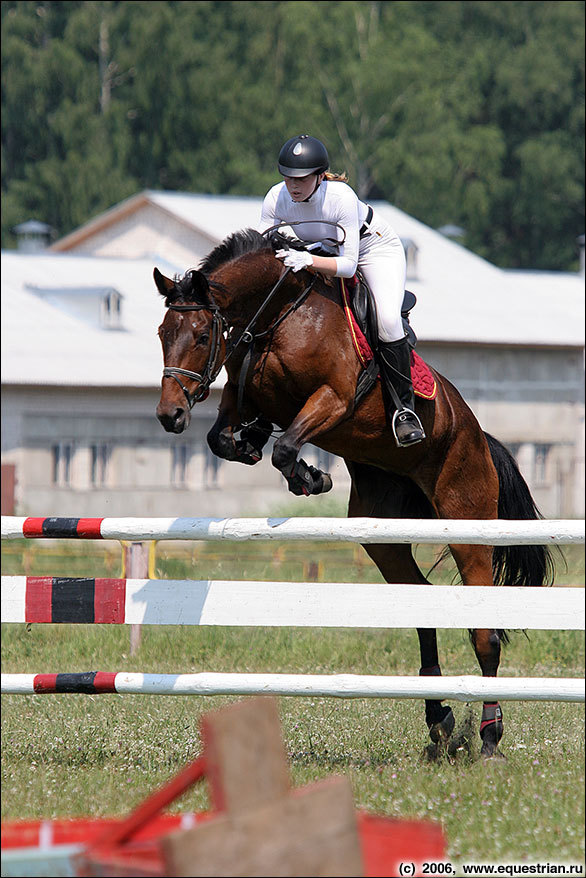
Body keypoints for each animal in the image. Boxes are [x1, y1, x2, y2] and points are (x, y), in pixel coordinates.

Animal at [152, 229, 552, 764]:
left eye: (199, 335)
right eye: (162, 333)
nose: (170, 415)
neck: (279, 314)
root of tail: (478, 435)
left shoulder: (334, 398)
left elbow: (286, 444)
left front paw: (310, 478)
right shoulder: (243, 396)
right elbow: (226, 439)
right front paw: (261, 451)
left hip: (467, 523)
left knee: (484, 631)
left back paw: (489, 738)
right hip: (381, 538)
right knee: (422, 606)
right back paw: (439, 719)